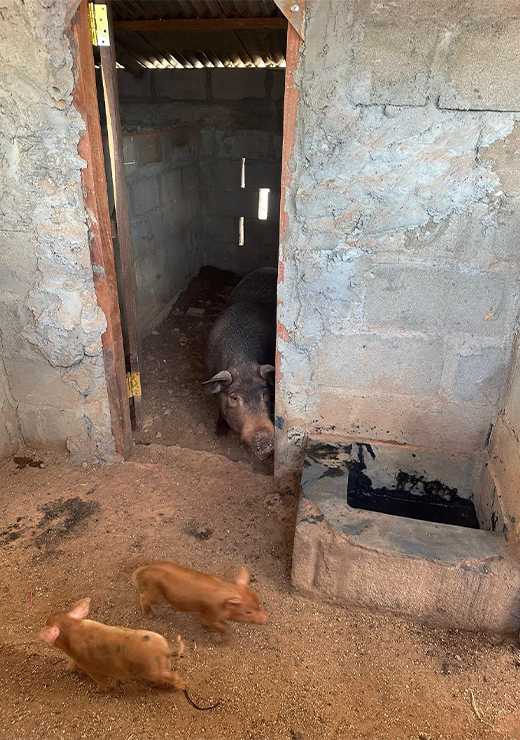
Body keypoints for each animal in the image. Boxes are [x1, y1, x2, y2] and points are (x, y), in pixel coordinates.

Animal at [39, 598, 185, 694]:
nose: (46, 620)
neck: (72, 628)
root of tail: (165, 650)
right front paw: (67, 669)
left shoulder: (91, 667)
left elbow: (101, 681)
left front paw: (98, 691)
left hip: (153, 670)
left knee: (173, 676)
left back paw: (181, 687)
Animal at [132, 561, 268, 643]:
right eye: (248, 612)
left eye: (259, 603)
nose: (265, 618)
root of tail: (149, 567)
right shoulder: (210, 613)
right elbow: (220, 625)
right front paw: (229, 640)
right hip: (156, 593)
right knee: (142, 596)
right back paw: (149, 615)